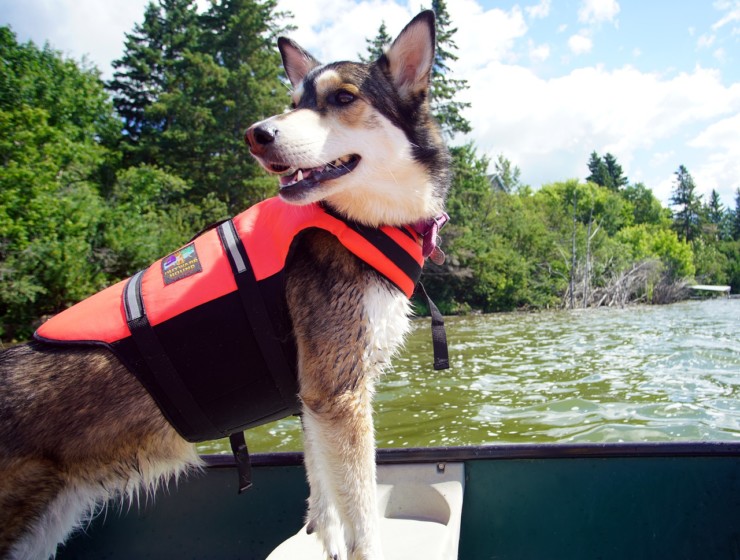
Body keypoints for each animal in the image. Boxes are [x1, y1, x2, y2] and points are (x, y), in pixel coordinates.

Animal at [0, 9, 450, 560]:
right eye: (294, 103)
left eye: (343, 98)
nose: (256, 134)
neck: (359, 221)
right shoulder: (337, 394)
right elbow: (362, 518)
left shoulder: (315, 397)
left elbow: (324, 498)